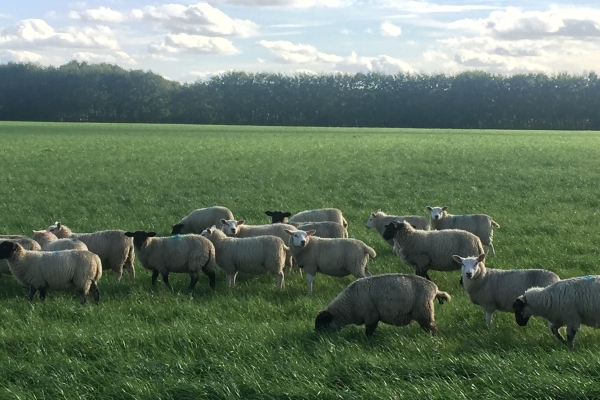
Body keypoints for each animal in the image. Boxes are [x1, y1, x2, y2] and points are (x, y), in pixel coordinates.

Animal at [314, 274, 450, 336]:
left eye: (322, 325)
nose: (317, 337)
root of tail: (434, 289)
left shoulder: (371, 316)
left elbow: (369, 331)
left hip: (424, 312)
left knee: (431, 328)